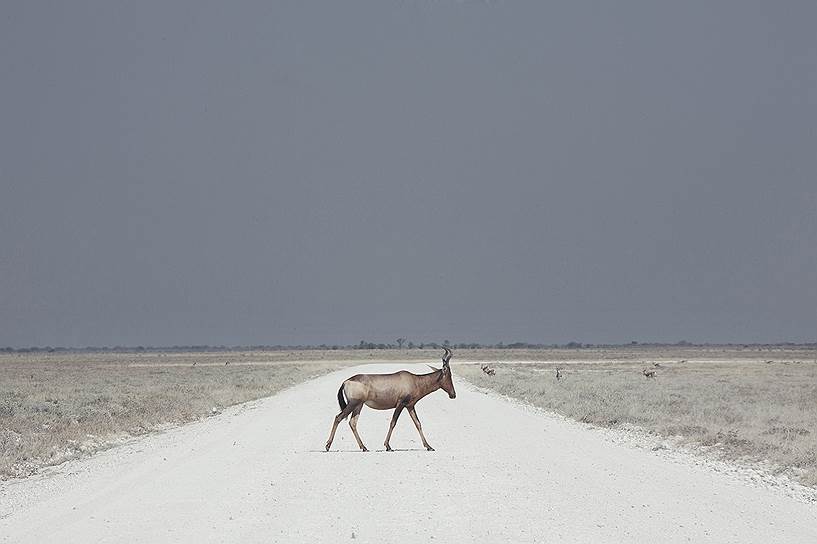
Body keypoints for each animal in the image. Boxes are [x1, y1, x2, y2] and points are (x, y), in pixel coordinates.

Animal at [324, 346, 456, 452]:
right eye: (449, 375)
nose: (453, 395)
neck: (414, 380)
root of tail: (346, 381)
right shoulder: (400, 404)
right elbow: (393, 422)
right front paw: (388, 446)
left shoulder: (410, 406)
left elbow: (418, 423)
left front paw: (429, 446)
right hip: (353, 404)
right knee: (338, 417)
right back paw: (328, 446)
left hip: (359, 405)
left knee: (352, 422)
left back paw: (364, 447)